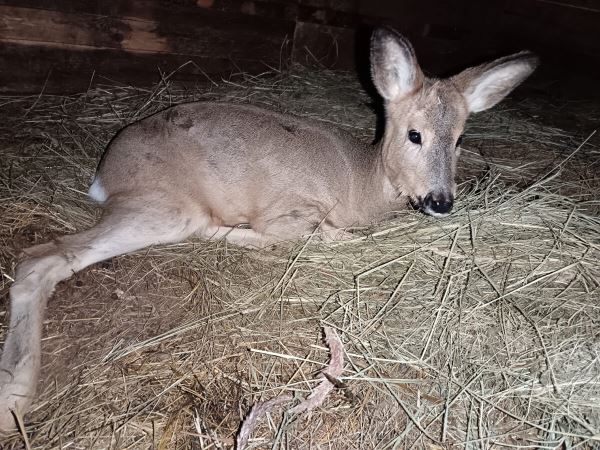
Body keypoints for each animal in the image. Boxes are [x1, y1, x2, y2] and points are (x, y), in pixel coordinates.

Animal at [0, 27, 536, 428]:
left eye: (461, 138)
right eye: (414, 135)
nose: (441, 202)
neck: (362, 181)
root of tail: (104, 172)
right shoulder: (291, 210)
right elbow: (313, 233)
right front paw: (234, 232)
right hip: (163, 205)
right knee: (39, 257)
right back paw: (15, 398)